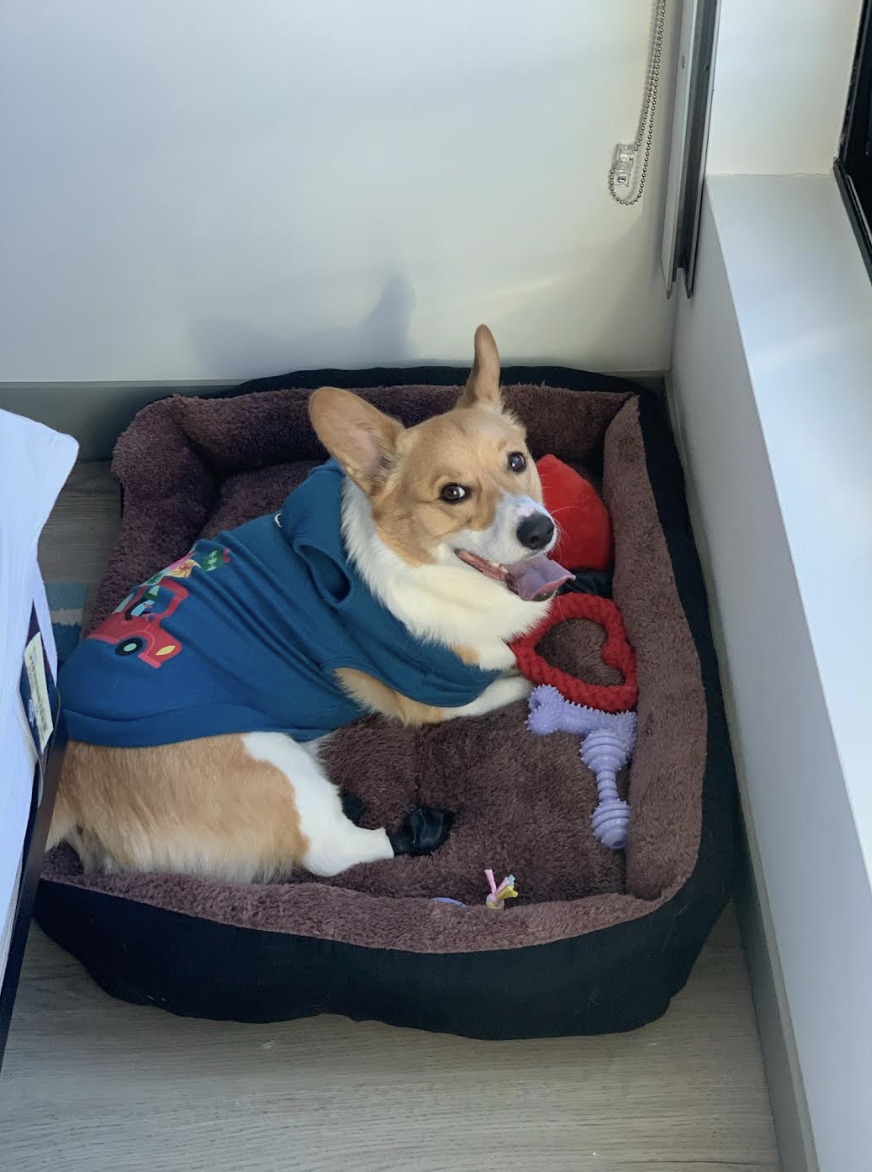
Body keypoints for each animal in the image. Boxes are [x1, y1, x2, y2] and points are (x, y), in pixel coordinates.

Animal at [52, 325, 571, 881]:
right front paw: (528, 684)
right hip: (271, 759)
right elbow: (504, 684)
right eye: (452, 493)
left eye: (516, 461)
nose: (540, 531)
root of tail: (69, 781)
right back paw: (416, 831)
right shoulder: (438, 698)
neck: (421, 567)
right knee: (332, 850)